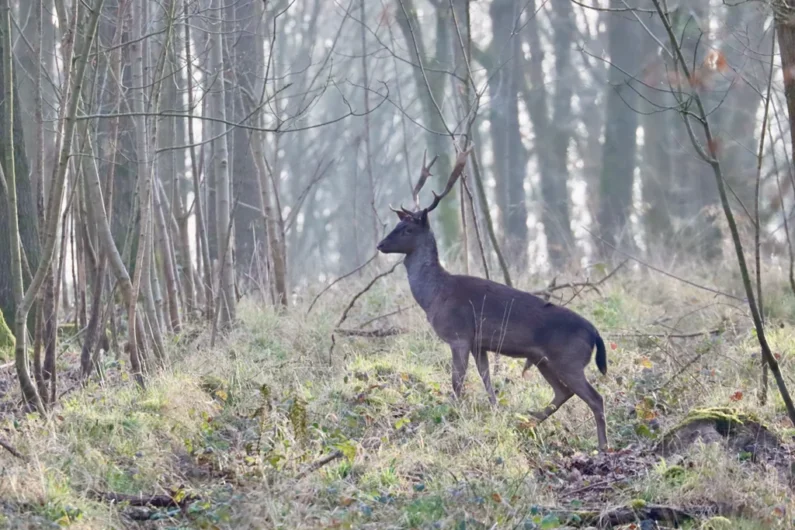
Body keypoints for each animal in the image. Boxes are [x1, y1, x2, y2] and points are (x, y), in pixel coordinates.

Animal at [376, 145, 612, 450]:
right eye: (396, 226)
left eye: (407, 229)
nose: (380, 244)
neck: (435, 296)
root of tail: (595, 333)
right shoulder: (480, 344)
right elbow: (486, 379)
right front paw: (495, 410)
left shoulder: (459, 335)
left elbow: (457, 380)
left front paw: (454, 411)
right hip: (544, 360)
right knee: (563, 393)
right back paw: (529, 420)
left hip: (569, 359)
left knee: (595, 398)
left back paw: (602, 446)